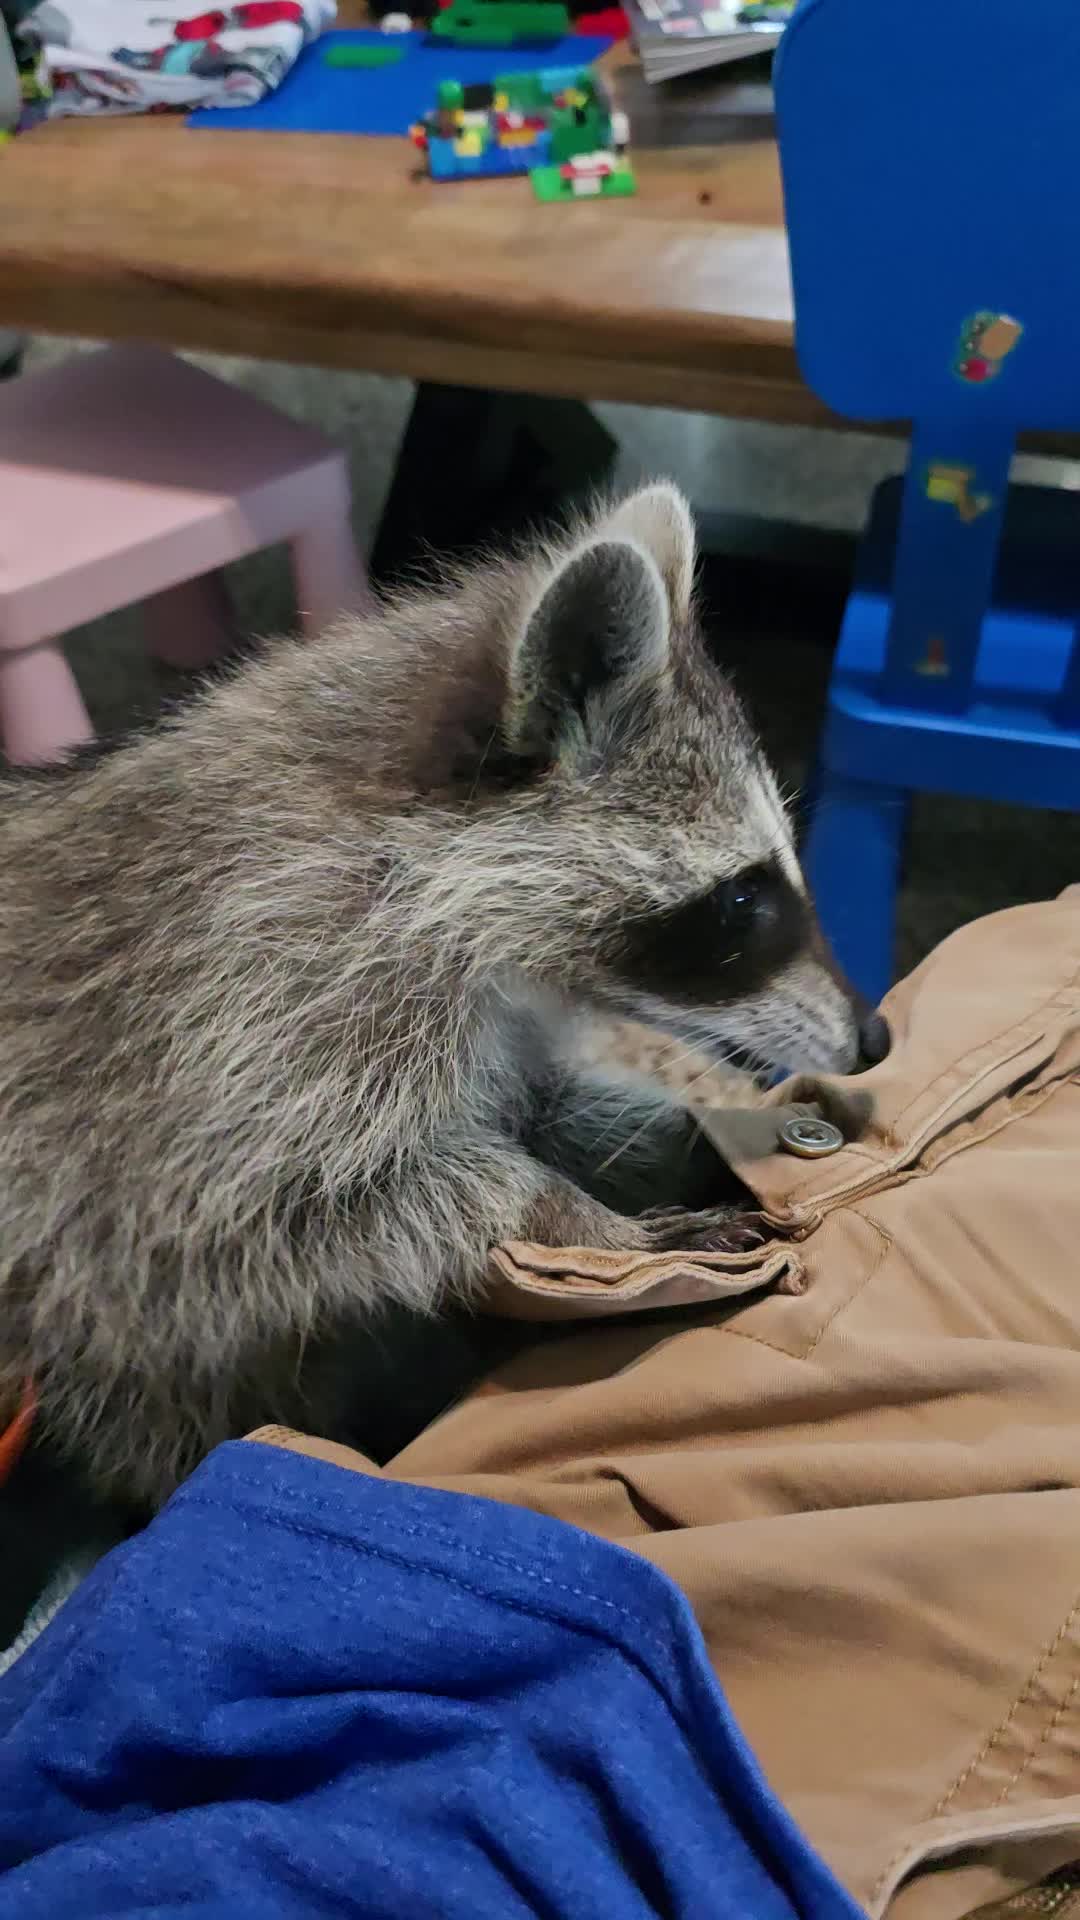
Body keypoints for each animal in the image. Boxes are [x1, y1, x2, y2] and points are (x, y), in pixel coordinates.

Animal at [0, 484, 881, 1506]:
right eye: (743, 899)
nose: (874, 1036)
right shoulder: (222, 1030)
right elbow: (268, 1222)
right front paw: (571, 1217)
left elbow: (542, 1108)